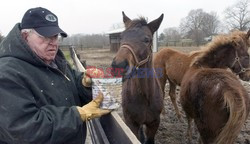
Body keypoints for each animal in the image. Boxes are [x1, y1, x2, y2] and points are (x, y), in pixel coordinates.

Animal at [111, 11, 164, 143]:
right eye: (121, 37)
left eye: (147, 39)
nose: (118, 65)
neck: (146, 96)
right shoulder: (132, 124)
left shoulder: (154, 123)